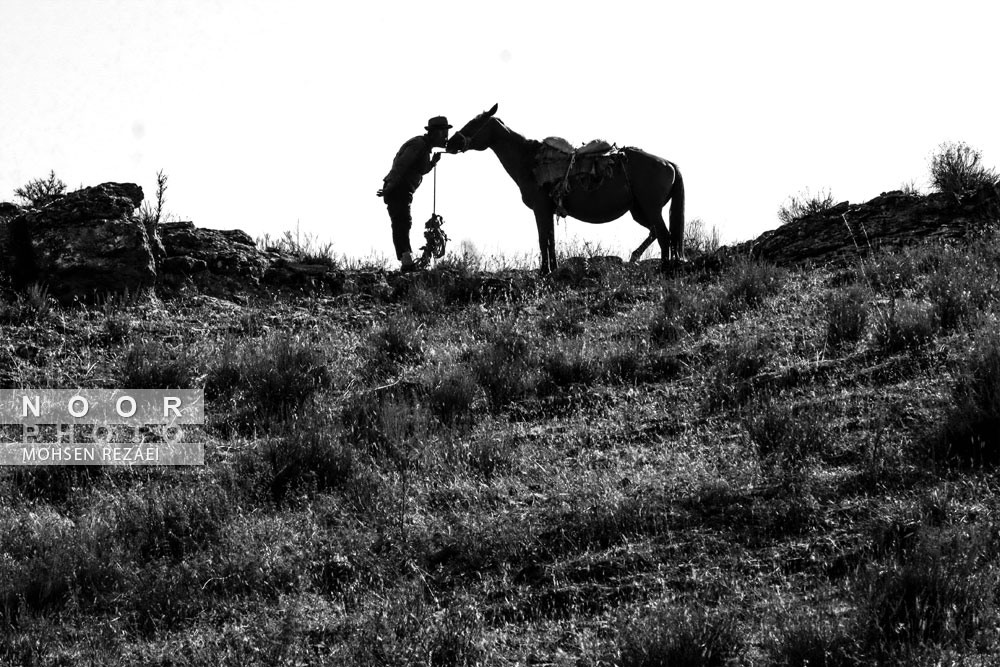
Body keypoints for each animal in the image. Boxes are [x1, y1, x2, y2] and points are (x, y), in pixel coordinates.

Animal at [450, 103, 684, 272]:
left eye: (474, 123)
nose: (451, 142)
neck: (530, 161)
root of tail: (669, 163)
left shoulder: (540, 209)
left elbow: (543, 240)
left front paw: (545, 271)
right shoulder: (548, 210)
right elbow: (550, 240)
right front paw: (552, 269)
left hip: (651, 208)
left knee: (664, 235)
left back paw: (663, 268)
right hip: (638, 210)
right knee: (657, 233)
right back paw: (640, 257)